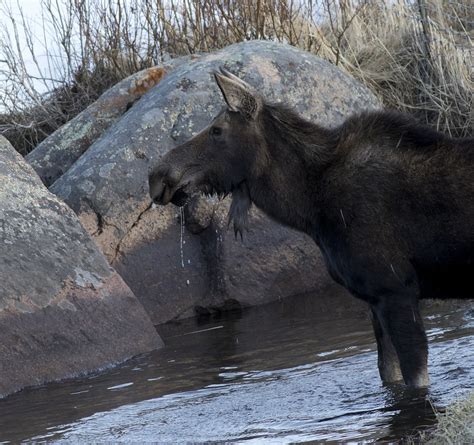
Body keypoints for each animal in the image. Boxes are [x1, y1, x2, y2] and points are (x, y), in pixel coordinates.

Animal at [149, 67, 474, 386]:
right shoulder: (375, 299)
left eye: (216, 130)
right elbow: (388, 373)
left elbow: (415, 379)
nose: (158, 175)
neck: (310, 210)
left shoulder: (395, 290)